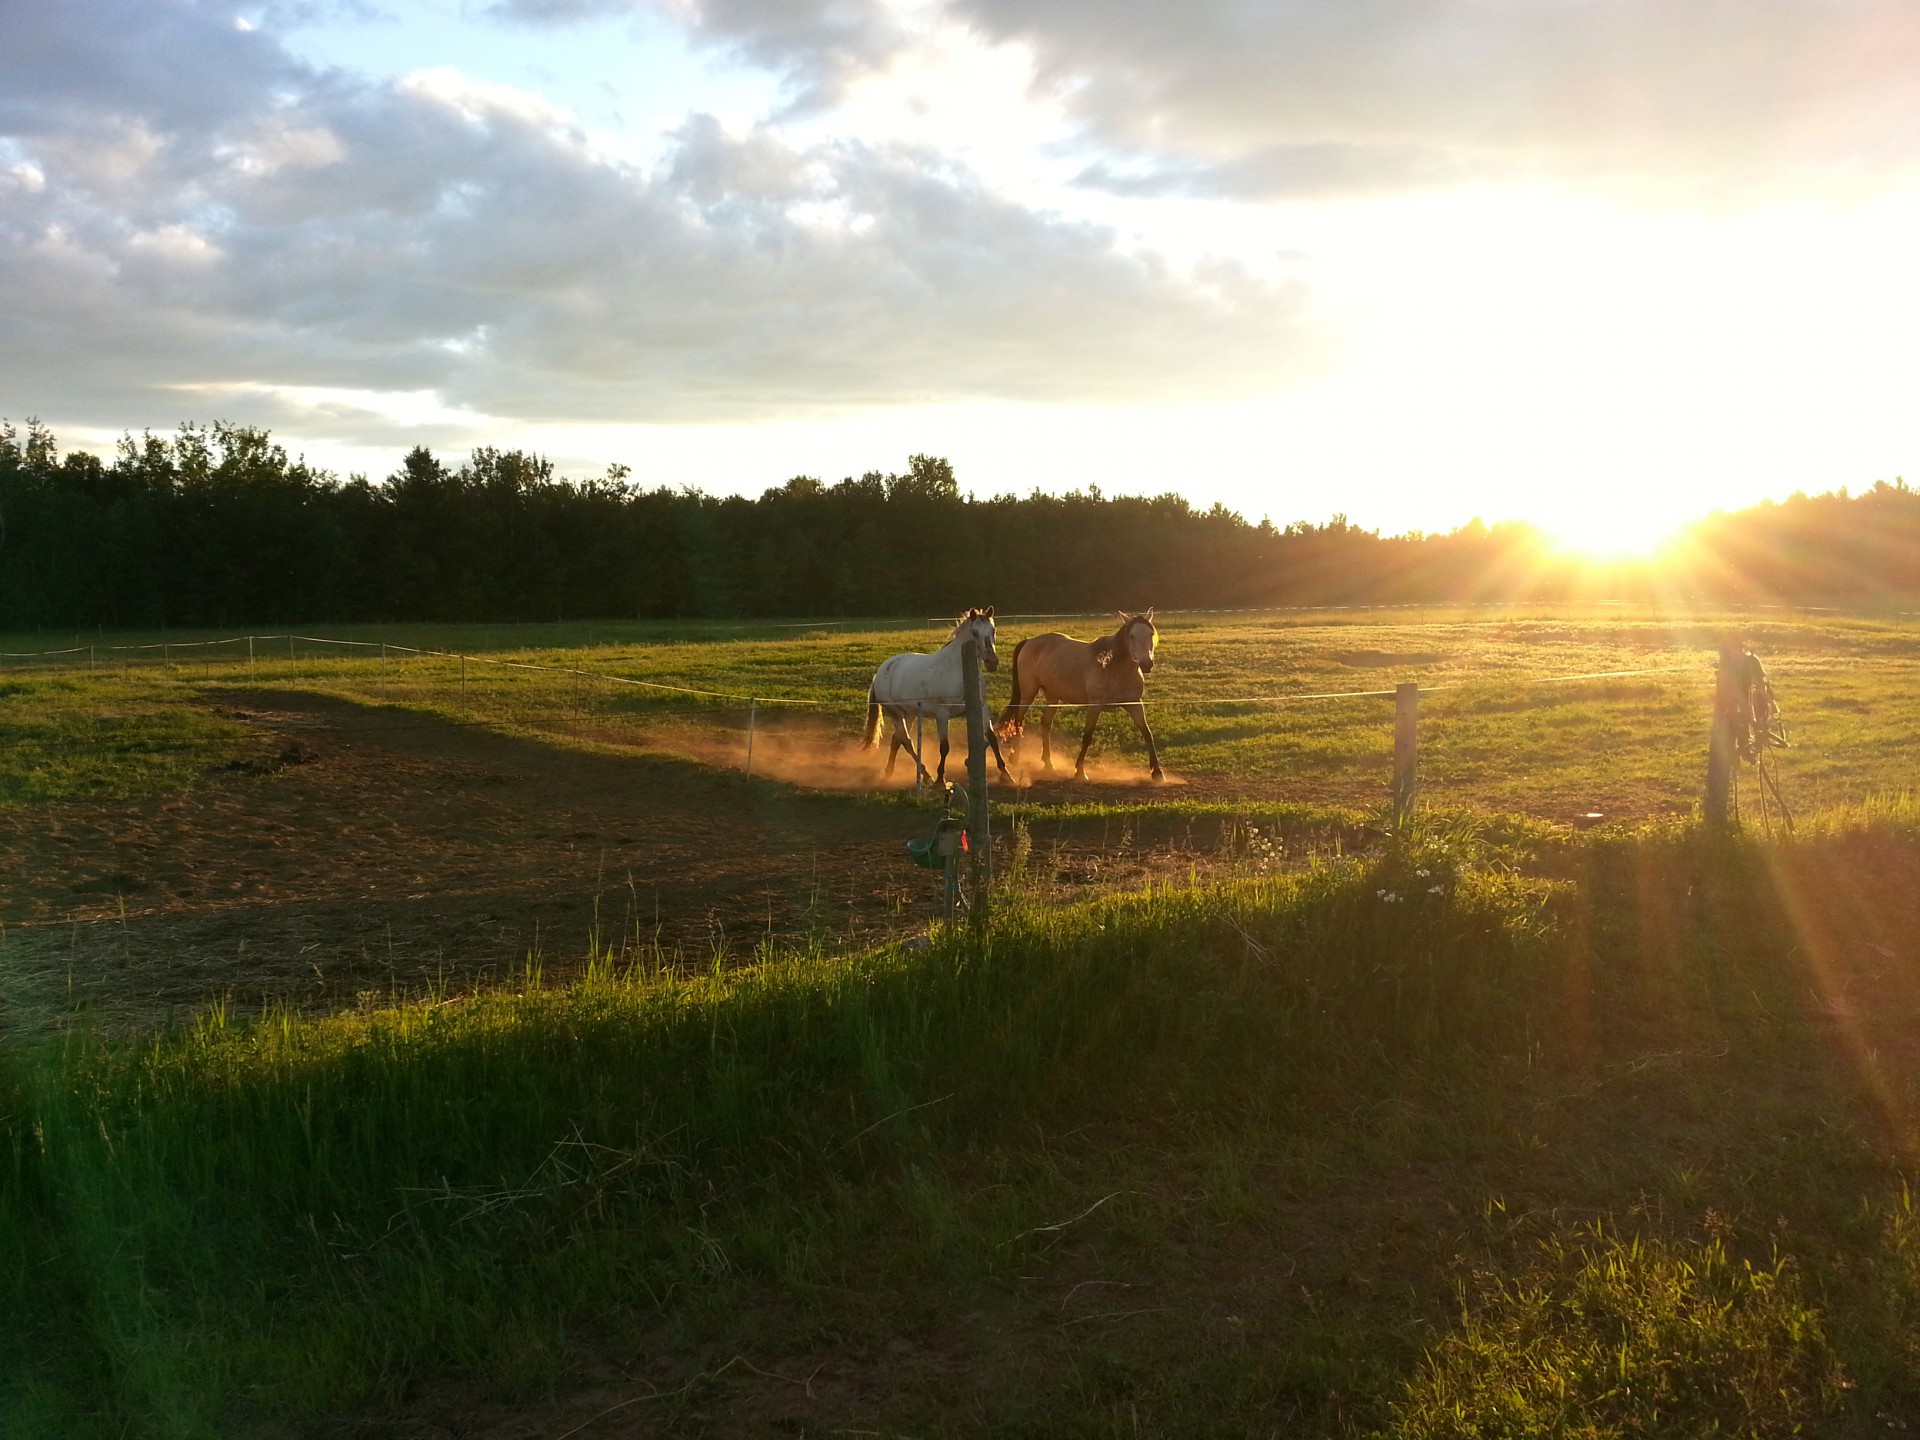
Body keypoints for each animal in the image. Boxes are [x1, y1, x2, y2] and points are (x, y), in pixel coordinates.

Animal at [998, 614, 1159, 783]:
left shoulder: (1135, 704)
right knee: (1018, 720)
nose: (1147, 664)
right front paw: (1080, 771)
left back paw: (1048, 763)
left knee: (1046, 723)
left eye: (1151, 634)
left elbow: (1147, 733)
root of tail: (1029, 641)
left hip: (1053, 696)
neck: (1112, 666)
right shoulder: (1095, 706)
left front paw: (1157, 773)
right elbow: (1087, 736)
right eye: (1131, 636)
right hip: (1029, 693)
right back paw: (1015, 758)